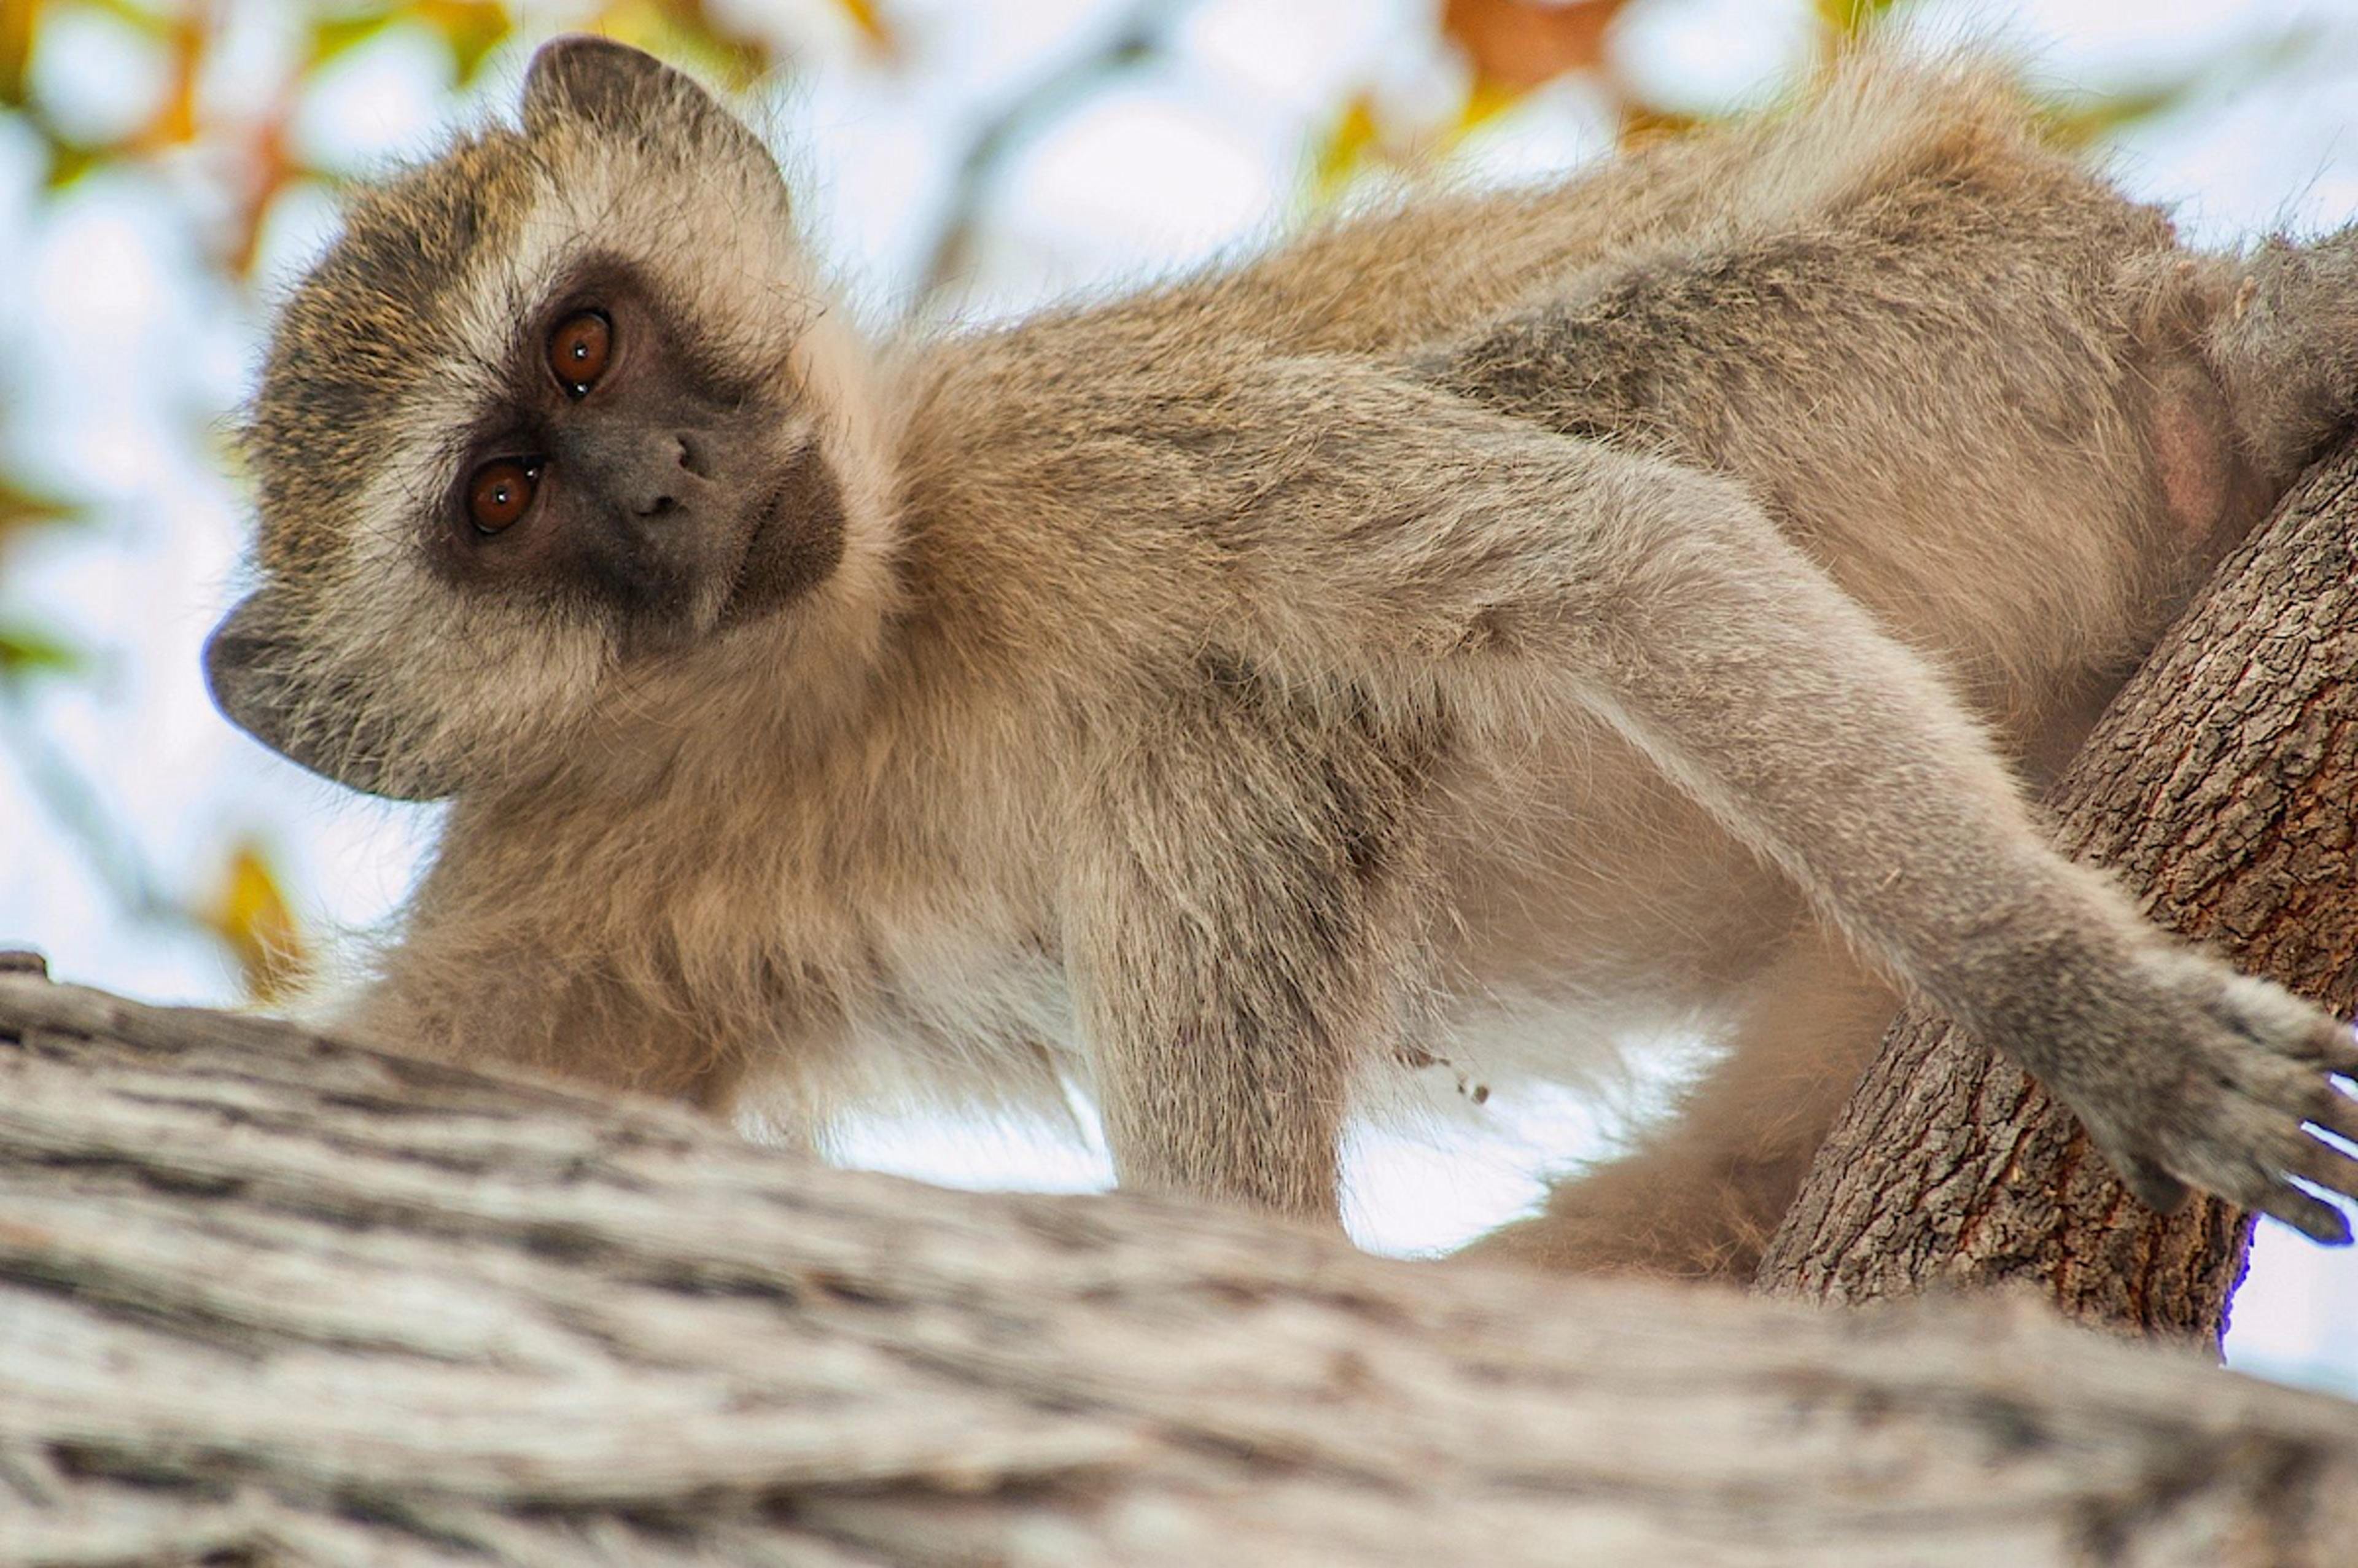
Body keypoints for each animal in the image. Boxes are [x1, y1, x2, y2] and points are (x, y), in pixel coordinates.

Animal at [204, 34, 2358, 1282]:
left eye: (587, 344)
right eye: (499, 500)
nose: (661, 487)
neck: (848, 673)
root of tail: (2153, 290)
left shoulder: (1090, 451)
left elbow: (1615, 557)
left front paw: (2078, 1000)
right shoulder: (558, 863)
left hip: (1921, 336)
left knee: (1223, 708)